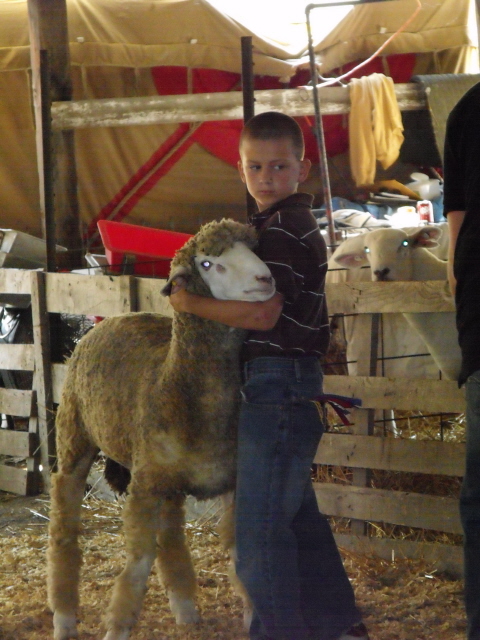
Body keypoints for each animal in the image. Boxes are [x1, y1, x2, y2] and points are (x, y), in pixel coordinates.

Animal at [47, 219, 275, 640]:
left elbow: (241, 556)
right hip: (75, 438)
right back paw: (64, 618)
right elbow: (137, 565)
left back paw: (185, 610)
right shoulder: (145, 487)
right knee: (64, 532)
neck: (178, 385)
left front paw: (254, 617)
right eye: (207, 263)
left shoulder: (232, 480)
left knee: (170, 539)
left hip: (168, 479)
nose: (265, 278)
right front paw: (117, 628)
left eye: (252, 248)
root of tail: (113, 318)